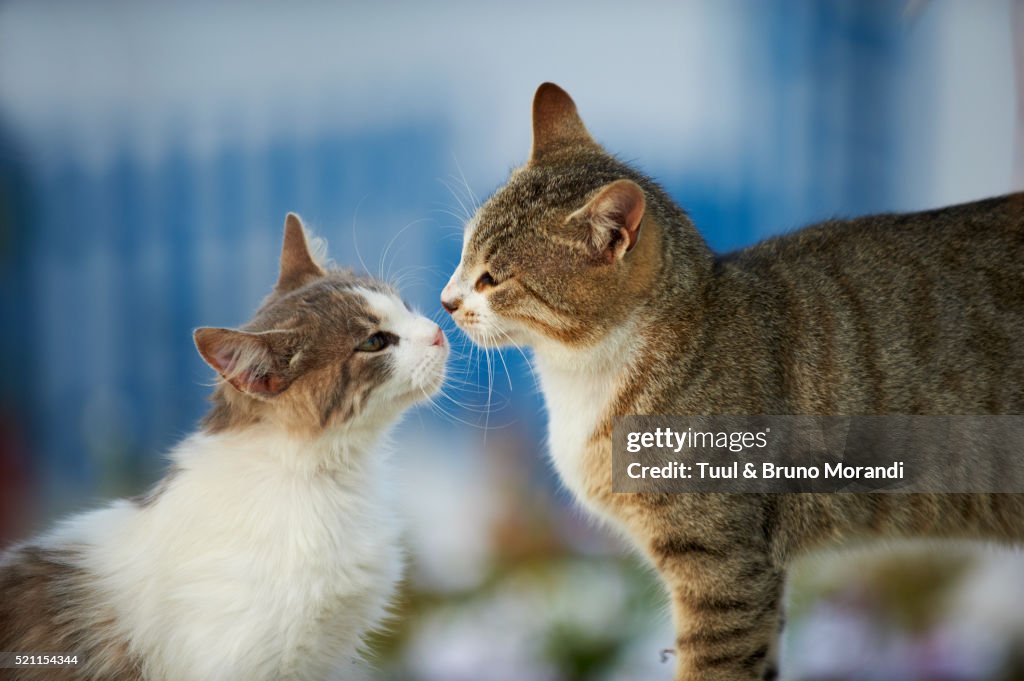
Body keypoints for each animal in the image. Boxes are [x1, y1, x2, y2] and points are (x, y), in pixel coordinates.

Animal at [444, 83, 1024, 679]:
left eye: (492, 279)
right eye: (464, 255)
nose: (445, 302)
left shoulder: (724, 566)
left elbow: (712, 663)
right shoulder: (759, 576)